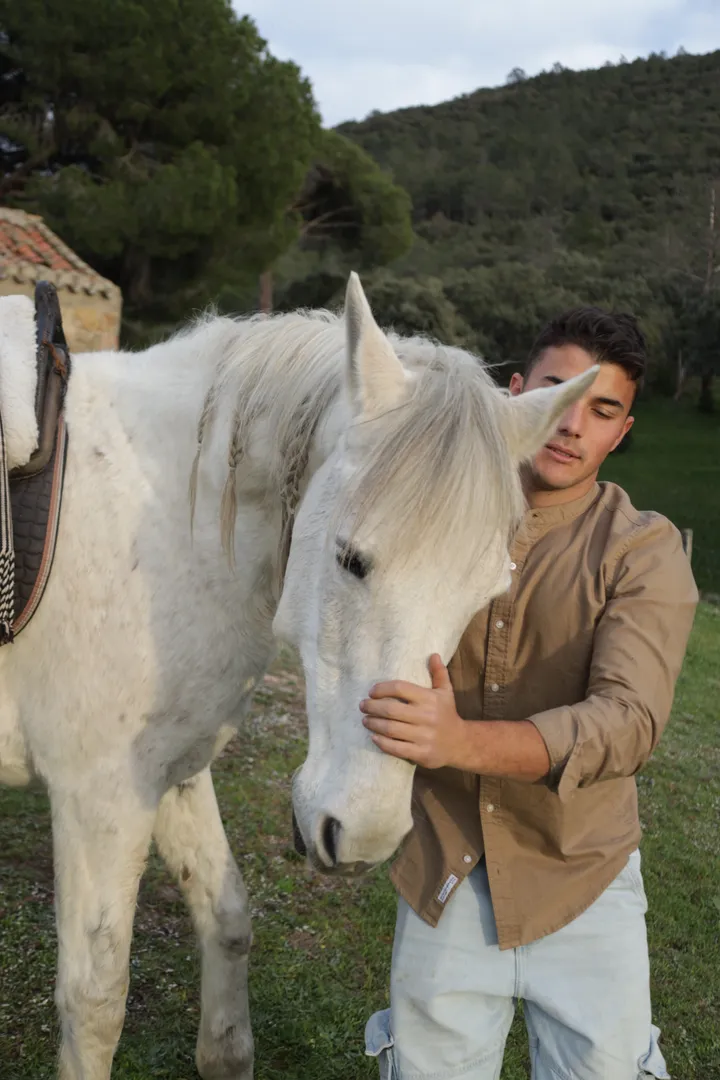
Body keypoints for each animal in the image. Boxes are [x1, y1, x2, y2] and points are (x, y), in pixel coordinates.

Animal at [0, 273, 596, 1079]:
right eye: (350, 558)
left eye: (486, 594)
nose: (367, 834)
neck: (160, 522)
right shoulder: (99, 797)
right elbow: (94, 1004)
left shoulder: (172, 771)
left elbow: (226, 919)